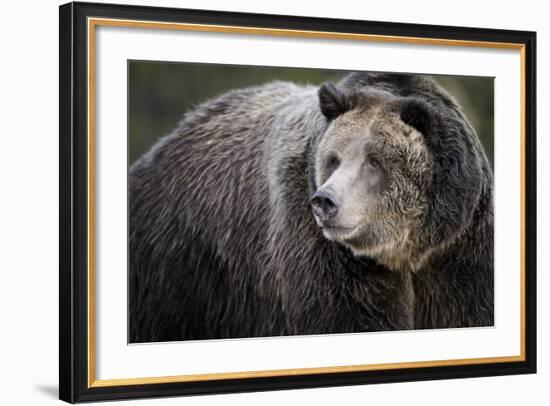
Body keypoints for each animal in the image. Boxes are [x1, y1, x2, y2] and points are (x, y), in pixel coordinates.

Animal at [129, 71, 496, 340]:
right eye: (334, 158)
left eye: (374, 161)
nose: (325, 201)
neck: (405, 249)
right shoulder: (322, 251)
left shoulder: (459, 249)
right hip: (180, 265)